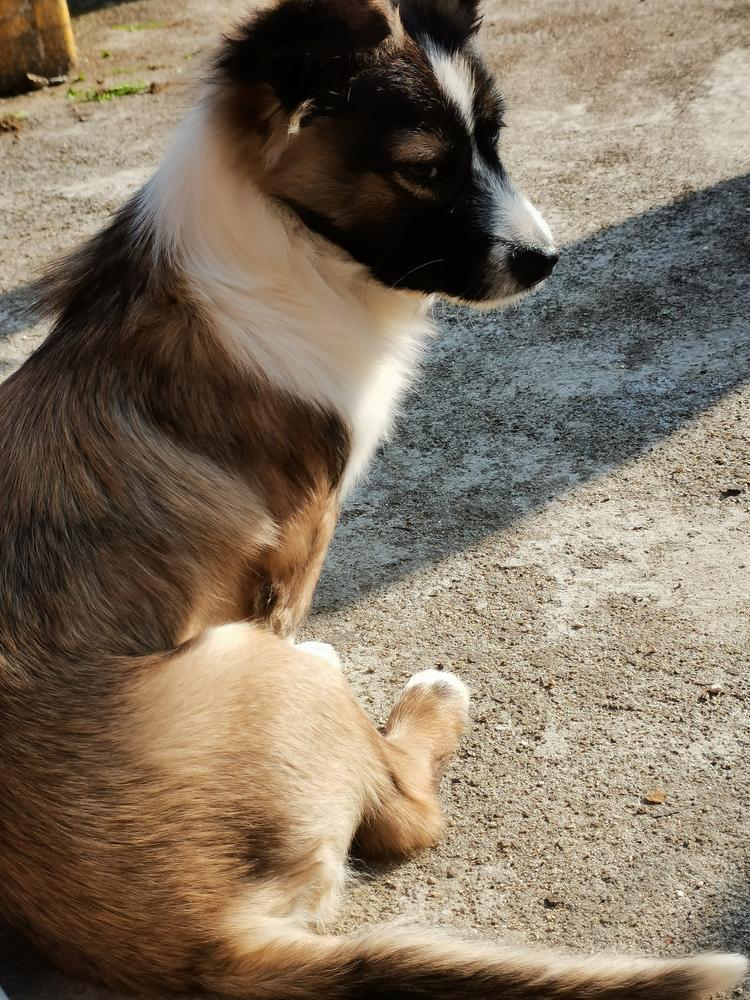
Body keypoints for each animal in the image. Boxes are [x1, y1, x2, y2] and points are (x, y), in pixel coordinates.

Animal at [0, 0, 746, 995]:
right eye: (425, 169)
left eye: (495, 142)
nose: (548, 261)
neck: (285, 237)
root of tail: (205, 944)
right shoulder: (289, 559)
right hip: (258, 669)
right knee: (408, 814)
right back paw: (425, 701)